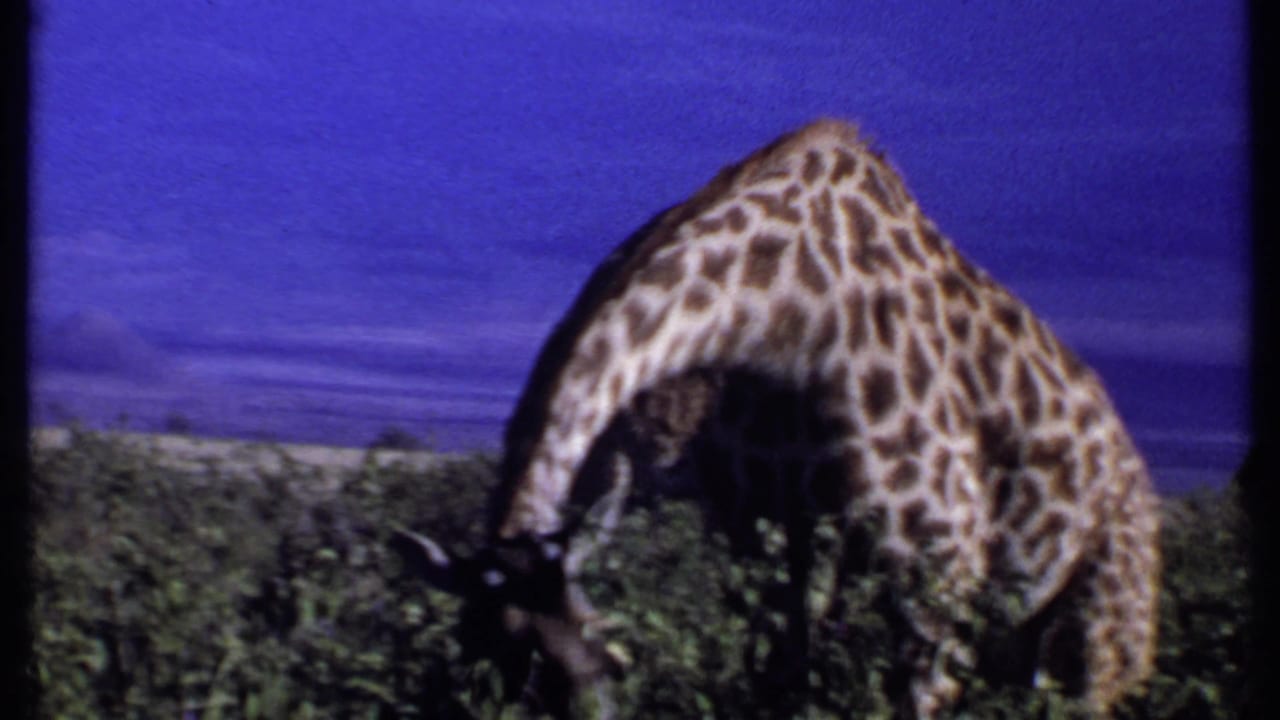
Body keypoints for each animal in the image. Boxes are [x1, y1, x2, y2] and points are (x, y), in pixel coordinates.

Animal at [399, 118, 1160, 718]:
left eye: (602, 665)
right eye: (482, 667)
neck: (781, 308)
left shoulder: (944, 556)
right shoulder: (760, 534)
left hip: (1106, 618)